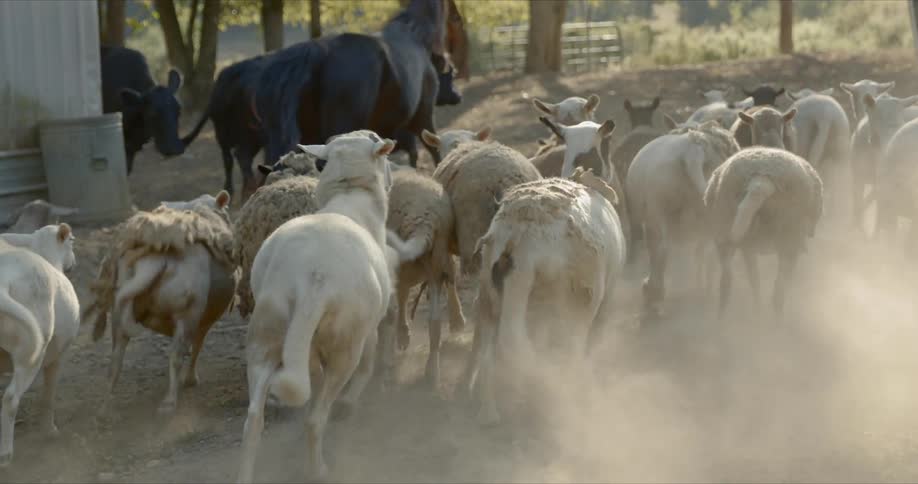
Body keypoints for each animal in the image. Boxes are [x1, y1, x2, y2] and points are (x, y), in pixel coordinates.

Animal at [0, 223, 78, 466]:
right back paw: (5, 455)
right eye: (72, 241)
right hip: (31, 354)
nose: (74, 263)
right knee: (10, 399)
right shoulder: (58, 355)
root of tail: (3, 283)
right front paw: (50, 431)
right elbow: (48, 395)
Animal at [82, 190, 237, 414]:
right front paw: (190, 380)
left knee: (115, 360)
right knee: (176, 356)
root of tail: (155, 260)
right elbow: (197, 345)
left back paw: (104, 410)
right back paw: (169, 402)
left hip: (120, 314)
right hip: (187, 313)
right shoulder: (203, 318)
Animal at [238, 131, 421, 482]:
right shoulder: (369, 327)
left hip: (266, 334)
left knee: (253, 420)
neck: (350, 194)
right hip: (344, 344)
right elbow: (369, 361)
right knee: (316, 416)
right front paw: (352, 400)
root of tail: (314, 277)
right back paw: (319, 468)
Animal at [470, 167, 625, 425]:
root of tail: (518, 237)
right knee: (564, 352)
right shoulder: (605, 301)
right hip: (568, 305)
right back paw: (558, 395)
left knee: (491, 352)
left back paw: (489, 411)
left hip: (490, 295)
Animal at [704, 147, 823, 317]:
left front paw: (757, 307)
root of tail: (761, 179)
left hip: (727, 227)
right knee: (779, 290)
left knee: (727, 281)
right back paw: (776, 319)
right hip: (790, 237)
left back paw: (724, 316)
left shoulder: (747, 246)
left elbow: (754, 279)